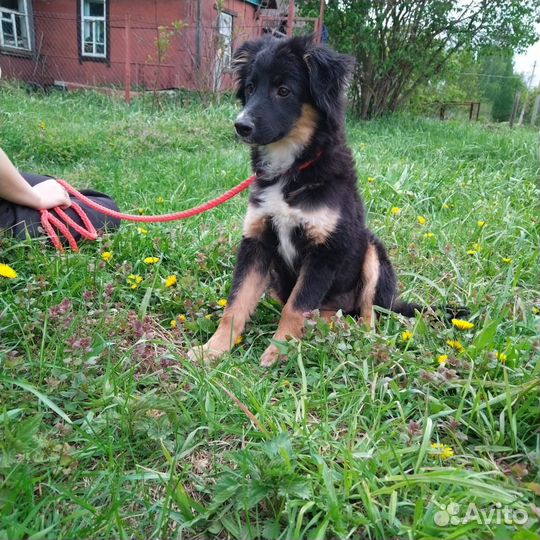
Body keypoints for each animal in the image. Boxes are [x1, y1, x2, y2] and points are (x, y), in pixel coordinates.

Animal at [190, 37, 430, 368]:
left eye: (284, 90)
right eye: (250, 88)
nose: (241, 126)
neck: (291, 169)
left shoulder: (325, 250)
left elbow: (295, 306)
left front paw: (279, 351)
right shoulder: (257, 240)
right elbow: (236, 304)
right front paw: (212, 349)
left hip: (371, 250)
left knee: (367, 315)